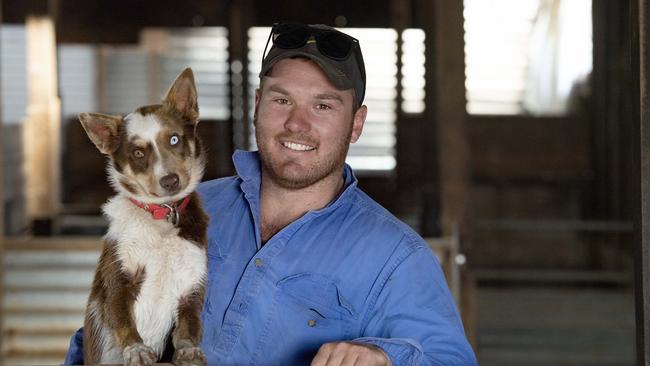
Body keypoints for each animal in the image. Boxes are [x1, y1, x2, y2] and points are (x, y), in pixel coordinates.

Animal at [79, 68, 208, 366]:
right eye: (138, 153)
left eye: (174, 139)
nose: (170, 180)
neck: (162, 214)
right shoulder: (119, 280)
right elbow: (124, 321)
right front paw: (136, 349)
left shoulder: (190, 288)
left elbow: (189, 328)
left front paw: (189, 351)